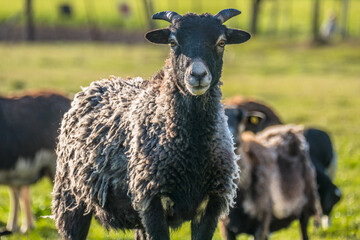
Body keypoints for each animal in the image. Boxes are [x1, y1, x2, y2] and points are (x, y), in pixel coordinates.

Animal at [52, 8, 252, 239]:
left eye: (221, 42)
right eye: (173, 42)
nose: (198, 75)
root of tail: (97, 83)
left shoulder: (212, 204)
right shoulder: (151, 202)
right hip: (70, 199)